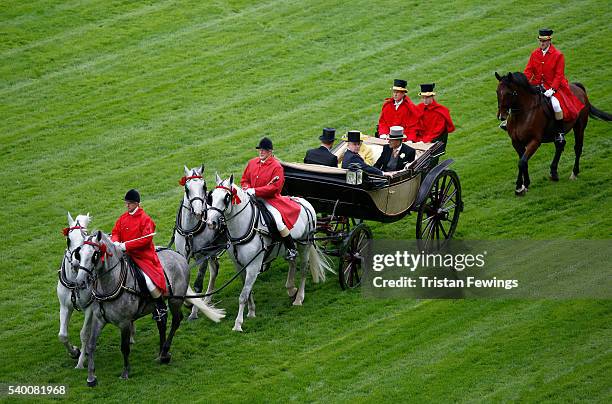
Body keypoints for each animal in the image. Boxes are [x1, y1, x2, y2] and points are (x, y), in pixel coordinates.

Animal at [74, 230, 222, 386]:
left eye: (94, 255)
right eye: (79, 253)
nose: (80, 282)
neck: (111, 283)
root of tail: (178, 255)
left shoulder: (124, 323)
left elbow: (124, 347)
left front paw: (125, 372)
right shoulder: (99, 319)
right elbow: (91, 345)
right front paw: (91, 377)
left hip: (175, 300)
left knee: (176, 321)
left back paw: (165, 352)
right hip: (158, 305)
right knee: (162, 323)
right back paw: (162, 353)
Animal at [206, 174, 330, 332]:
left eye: (226, 197)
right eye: (211, 196)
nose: (211, 222)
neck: (244, 227)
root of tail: (304, 201)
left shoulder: (253, 266)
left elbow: (243, 295)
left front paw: (238, 324)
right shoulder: (240, 266)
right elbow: (248, 290)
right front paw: (251, 312)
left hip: (305, 245)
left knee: (303, 269)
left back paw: (299, 298)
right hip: (290, 248)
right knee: (292, 262)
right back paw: (291, 288)